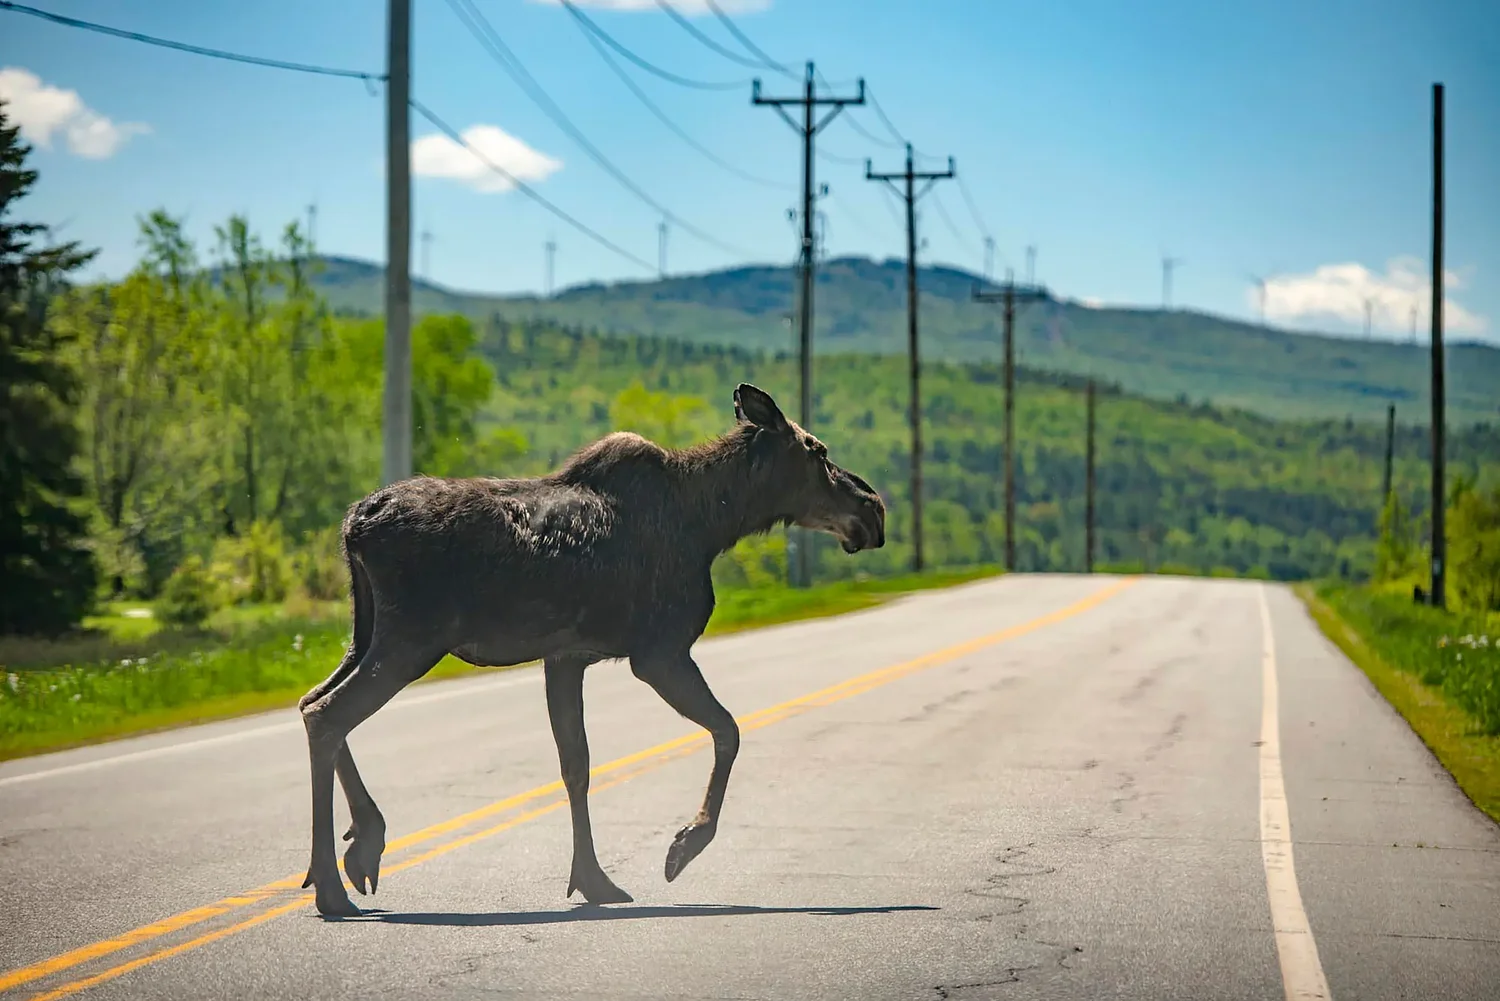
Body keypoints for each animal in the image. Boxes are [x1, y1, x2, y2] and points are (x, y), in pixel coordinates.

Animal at [297, 383, 887, 916]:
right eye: (818, 452)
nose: (874, 509)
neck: (712, 523)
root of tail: (354, 525)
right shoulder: (658, 653)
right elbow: (729, 730)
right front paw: (683, 845)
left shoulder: (566, 656)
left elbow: (575, 764)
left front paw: (592, 880)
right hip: (411, 639)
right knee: (328, 713)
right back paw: (332, 886)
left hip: (367, 632)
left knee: (310, 702)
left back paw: (363, 843)